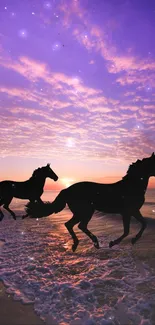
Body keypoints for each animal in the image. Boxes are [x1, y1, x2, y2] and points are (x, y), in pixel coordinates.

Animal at [25, 154, 155, 251]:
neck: (131, 186)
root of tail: (66, 189)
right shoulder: (127, 212)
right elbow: (127, 230)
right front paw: (113, 243)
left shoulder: (133, 211)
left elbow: (143, 224)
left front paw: (133, 239)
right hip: (86, 211)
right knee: (78, 225)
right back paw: (94, 242)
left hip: (80, 212)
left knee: (71, 224)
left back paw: (78, 244)